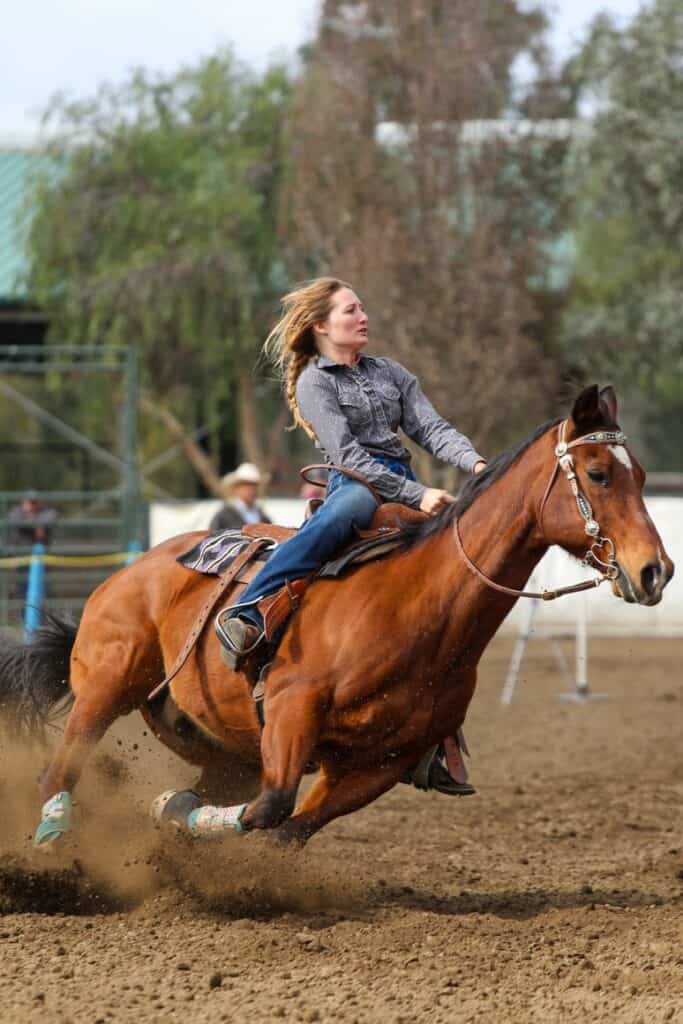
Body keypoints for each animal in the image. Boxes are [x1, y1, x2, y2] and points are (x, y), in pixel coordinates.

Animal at [0, 385, 671, 847]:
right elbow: (271, 806)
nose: (655, 571)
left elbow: (287, 827)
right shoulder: (292, 710)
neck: (417, 606)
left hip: (217, 744)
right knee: (58, 771)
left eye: (640, 475)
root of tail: (134, 570)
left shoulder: (379, 763)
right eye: (599, 473)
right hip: (107, 684)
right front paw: (167, 808)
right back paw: (53, 835)